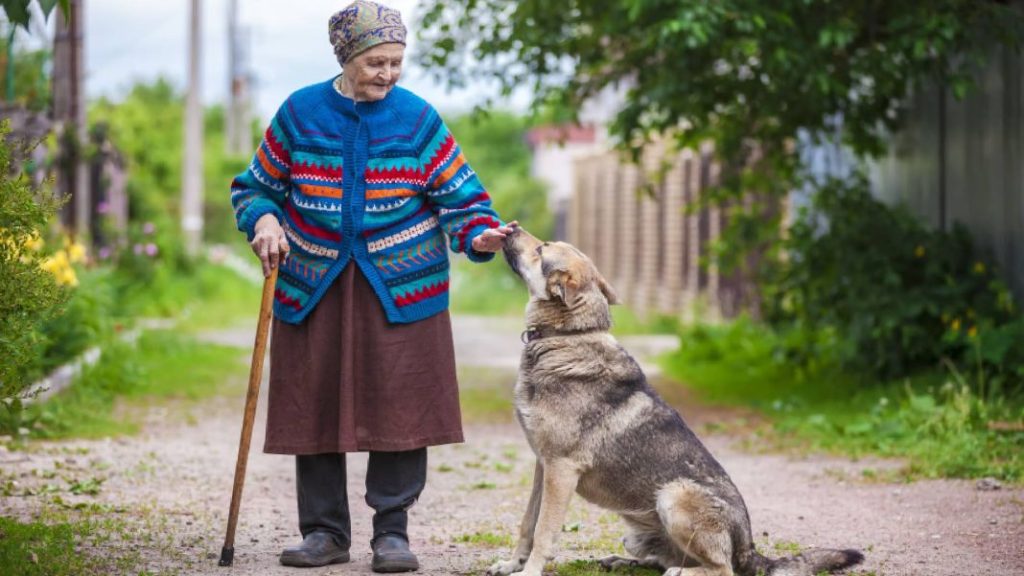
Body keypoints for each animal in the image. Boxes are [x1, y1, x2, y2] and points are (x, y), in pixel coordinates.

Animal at [489, 225, 864, 573]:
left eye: (541, 249)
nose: (512, 226)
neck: (567, 336)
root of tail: (750, 549)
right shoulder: (544, 466)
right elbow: (527, 524)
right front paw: (511, 564)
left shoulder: (561, 470)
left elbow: (544, 532)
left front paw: (529, 571)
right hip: (636, 533)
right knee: (659, 559)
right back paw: (620, 562)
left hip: (673, 496)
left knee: (719, 569)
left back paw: (678, 571)